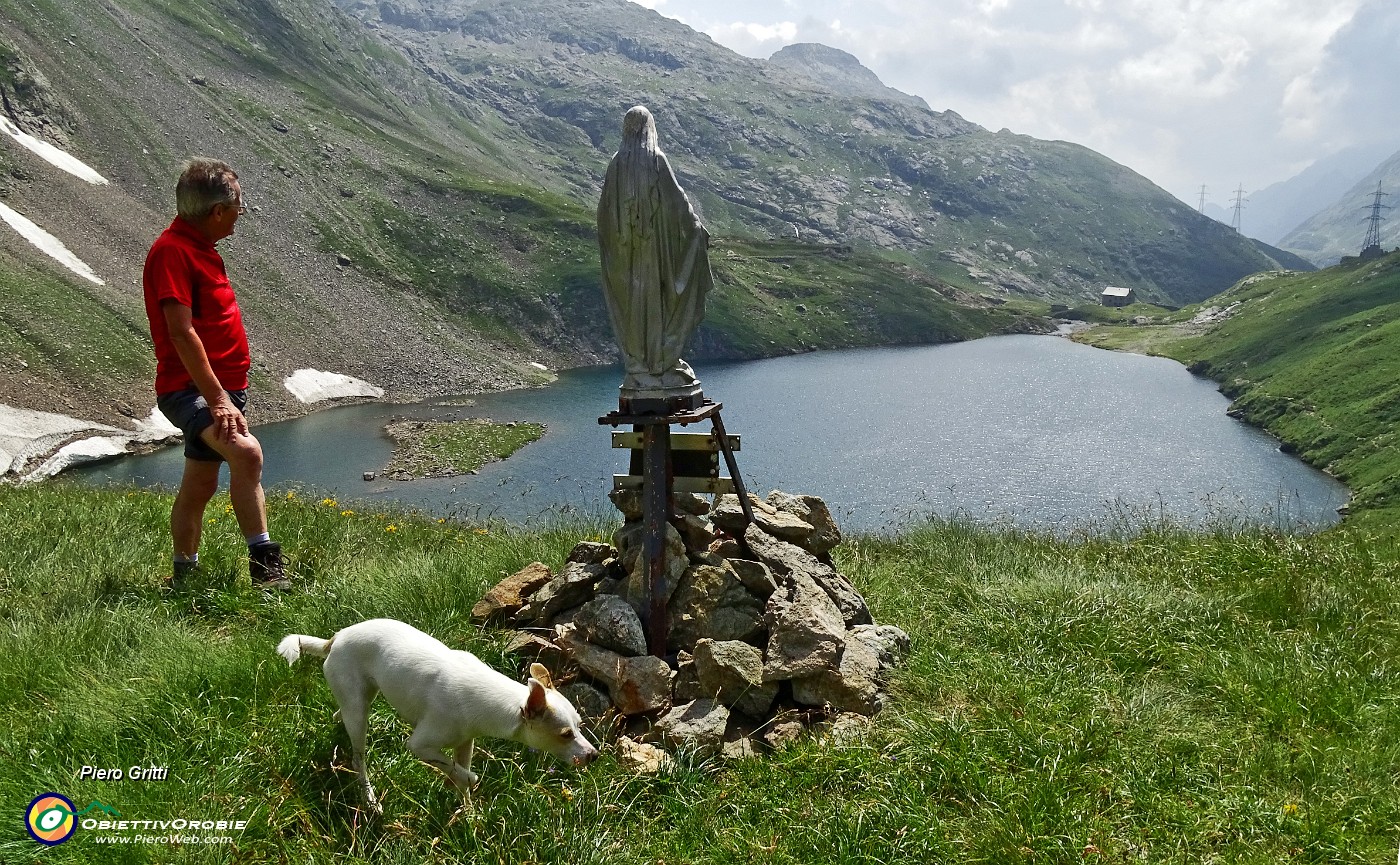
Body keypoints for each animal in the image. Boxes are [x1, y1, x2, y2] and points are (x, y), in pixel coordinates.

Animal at [277, 613, 596, 806]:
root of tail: (335, 638)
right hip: (359, 716)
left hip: (360, 698)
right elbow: (461, 773)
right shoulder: (420, 746)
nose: (594, 755)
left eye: (580, 726)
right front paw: (464, 782)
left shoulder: (465, 744)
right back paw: (370, 799)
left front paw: (468, 814)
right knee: (358, 760)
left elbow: (459, 773)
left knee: (342, 712)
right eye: (565, 735)